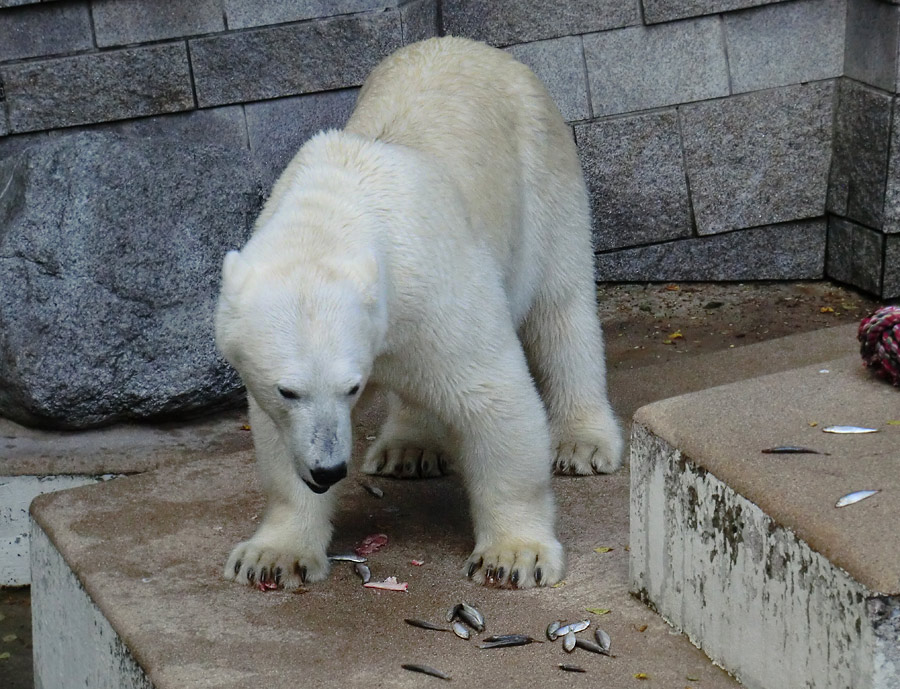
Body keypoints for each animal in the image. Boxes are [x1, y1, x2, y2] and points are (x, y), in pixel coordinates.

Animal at [215, 35, 624, 588]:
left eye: (351, 388)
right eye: (288, 389)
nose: (328, 471)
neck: (334, 208)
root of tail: (475, 46)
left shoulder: (435, 283)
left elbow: (494, 397)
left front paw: (514, 556)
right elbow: (279, 440)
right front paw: (273, 555)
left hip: (545, 177)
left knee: (560, 306)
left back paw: (583, 442)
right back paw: (406, 448)